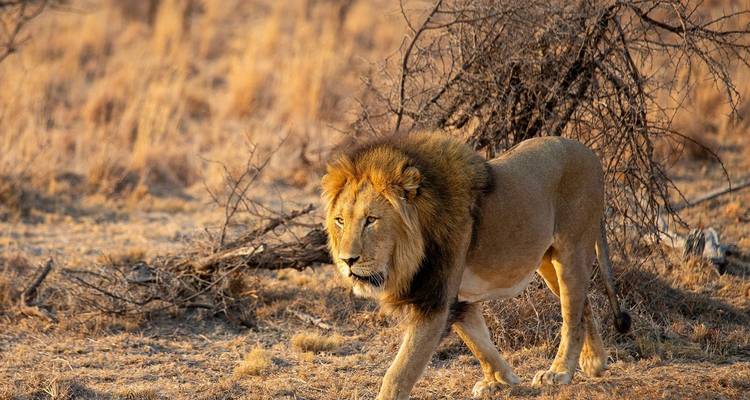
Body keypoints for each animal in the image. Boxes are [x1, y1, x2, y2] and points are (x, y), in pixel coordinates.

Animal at [321, 131, 630, 400]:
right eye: (340, 221)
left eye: (371, 220)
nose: (347, 260)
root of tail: (590, 153)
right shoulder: (458, 297)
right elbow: (479, 342)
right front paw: (502, 380)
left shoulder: (436, 298)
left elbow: (401, 369)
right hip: (547, 262)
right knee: (582, 304)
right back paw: (595, 361)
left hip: (571, 251)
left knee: (571, 316)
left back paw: (560, 372)